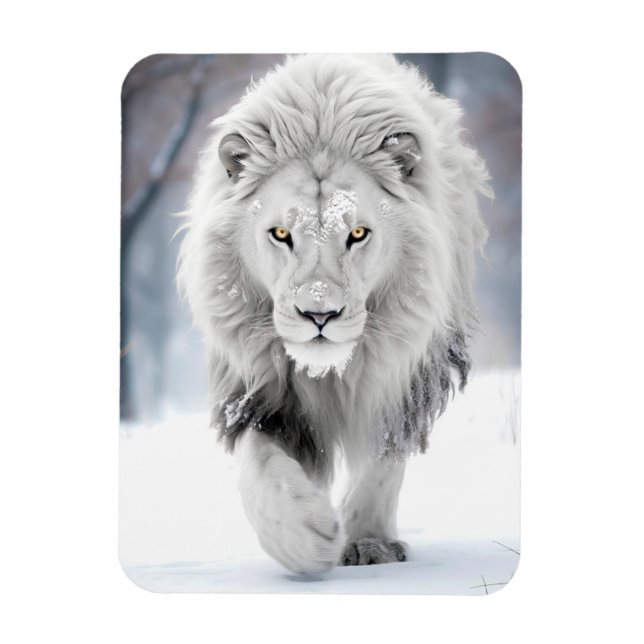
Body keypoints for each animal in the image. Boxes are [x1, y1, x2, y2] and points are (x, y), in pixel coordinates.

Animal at [178, 54, 491, 574]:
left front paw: (368, 543)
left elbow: (383, 459)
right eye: (281, 234)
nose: (318, 315)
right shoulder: (256, 389)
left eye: (358, 233)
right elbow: (259, 466)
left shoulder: (405, 375)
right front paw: (305, 535)